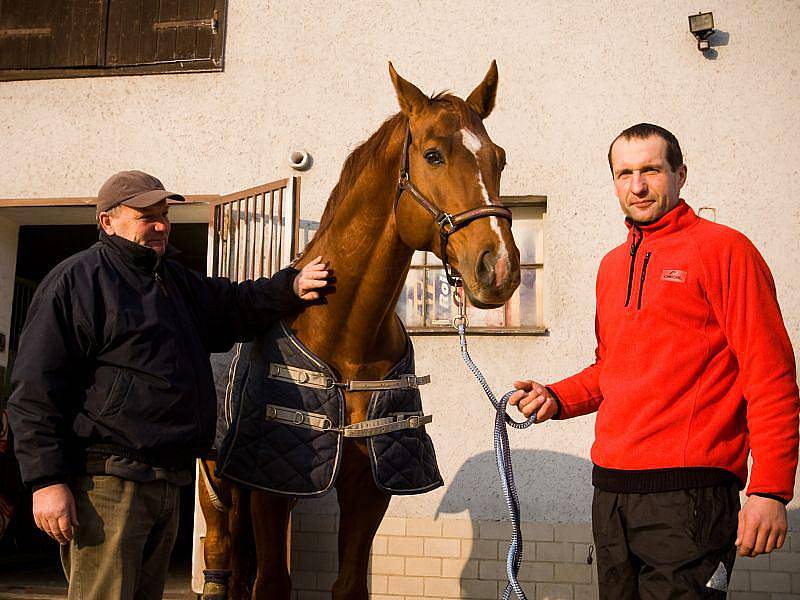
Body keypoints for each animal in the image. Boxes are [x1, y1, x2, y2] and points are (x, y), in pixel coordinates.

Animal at [195, 62, 520, 600]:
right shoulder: (270, 490)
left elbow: (348, 583)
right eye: (433, 154)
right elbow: (273, 582)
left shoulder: (368, 487)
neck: (345, 340)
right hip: (217, 482)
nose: (499, 269)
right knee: (220, 562)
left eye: (499, 158)